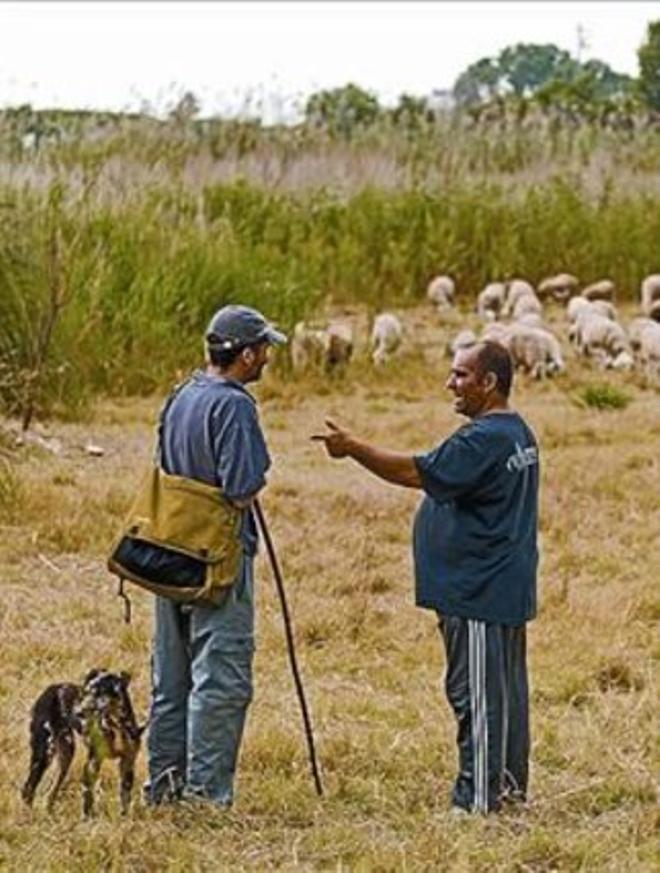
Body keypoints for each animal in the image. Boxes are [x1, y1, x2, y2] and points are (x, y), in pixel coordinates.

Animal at [21, 668, 146, 816]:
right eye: (85, 692)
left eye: (100, 692)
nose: (77, 712)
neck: (115, 725)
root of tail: (52, 688)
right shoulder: (92, 764)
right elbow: (88, 799)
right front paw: (88, 819)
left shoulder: (127, 764)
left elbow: (125, 799)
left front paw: (124, 818)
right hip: (44, 754)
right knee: (28, 788)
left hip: (65, 758)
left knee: (51, 792)